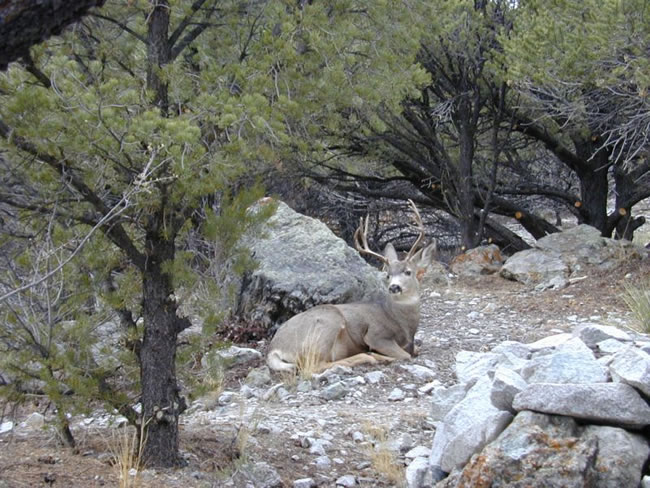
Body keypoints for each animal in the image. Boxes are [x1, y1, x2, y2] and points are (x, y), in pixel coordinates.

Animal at [264, 201, 436, 374]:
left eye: (408, 272)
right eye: (387, 275)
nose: (394, 287)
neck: (403, 324)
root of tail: (274, 349)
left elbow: (415, 350)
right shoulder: (376, 335)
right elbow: (405, 355)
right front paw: (378, 354)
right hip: (329, 322)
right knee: (315, 365)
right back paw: (369, 357)